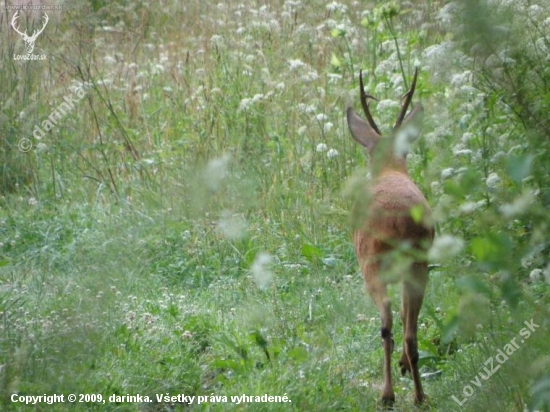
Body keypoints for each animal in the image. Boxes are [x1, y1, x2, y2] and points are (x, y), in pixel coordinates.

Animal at [350, 68, 436, 406]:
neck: (390, 170)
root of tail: (399, 223)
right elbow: (405, 312)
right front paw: (403, 366)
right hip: (418, 263)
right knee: (410, 327)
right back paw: (419, 395)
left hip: (372, 265)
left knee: (386, 321)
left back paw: (387, 395)